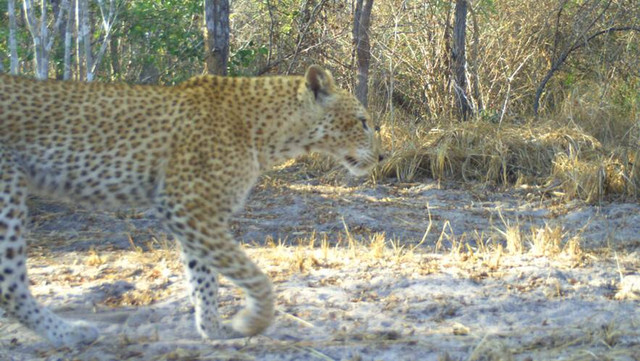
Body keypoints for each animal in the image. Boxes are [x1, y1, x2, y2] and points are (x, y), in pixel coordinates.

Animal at [0, 65, 380, 346]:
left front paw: (213, 330)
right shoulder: (187, 205)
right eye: (362, 121)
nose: (381, 157)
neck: (272, 132)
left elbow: (204, 279)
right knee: (11, 284)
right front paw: (251, 321)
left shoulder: (198, 214)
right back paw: (68, 333)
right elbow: (253, 276)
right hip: (8, 193)